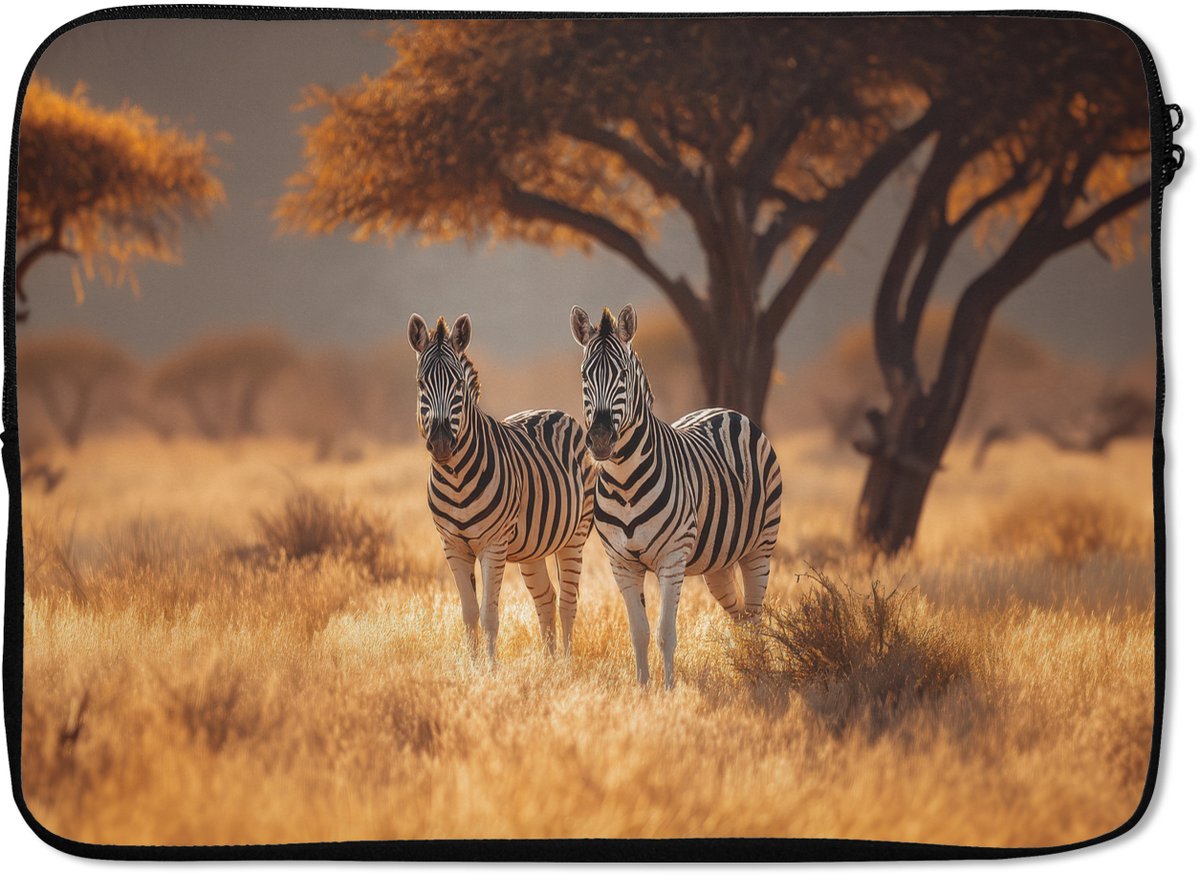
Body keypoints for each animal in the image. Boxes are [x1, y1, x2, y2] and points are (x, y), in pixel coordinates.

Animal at [408, 313, 596, 661]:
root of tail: (555, 411)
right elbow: (469, 614)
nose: (440, 443)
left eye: (458, 385)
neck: (455, 478)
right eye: (421, 384)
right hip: (533, 546)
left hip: (574, 536)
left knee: (568, 602)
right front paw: (472, 667)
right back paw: (548, 665)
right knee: (546, 598)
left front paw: (490, 669)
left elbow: (489, 615)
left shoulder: (492, 545)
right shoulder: (452, 546)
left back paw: (565, 663)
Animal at [570, 304, 782, 689]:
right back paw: (745, 667)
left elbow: (665, 632)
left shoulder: (672, 558)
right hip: (719, 561)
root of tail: (726, 410)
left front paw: (668, 690)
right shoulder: (621, 563)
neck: (625, 481)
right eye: (584, 374)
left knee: (756, 614)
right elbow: (638, 631)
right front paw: (642, 688)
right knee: (740, 615)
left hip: (760, 546)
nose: (602, 439)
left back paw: (758, 673)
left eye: (623, 374)